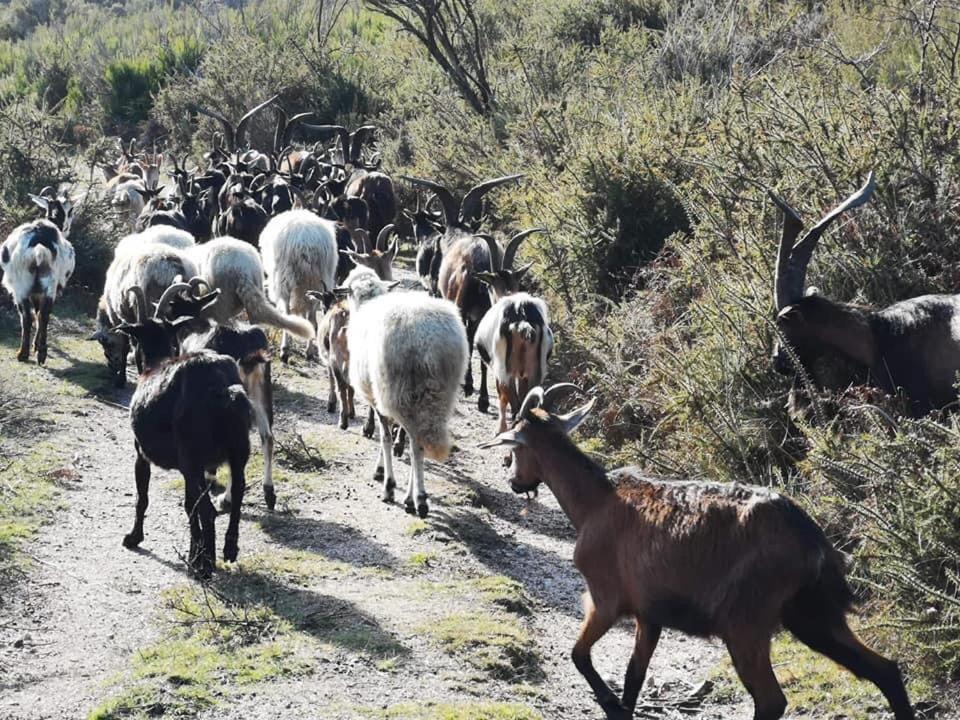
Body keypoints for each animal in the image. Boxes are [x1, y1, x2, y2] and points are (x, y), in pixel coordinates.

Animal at [260, 211, 340, 362]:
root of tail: (306, 242)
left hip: (284, 279)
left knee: (287, 313)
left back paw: (284, 351)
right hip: (319, 280)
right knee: (312, 320)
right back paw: (309, 351)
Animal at [342, 266, 468, 516]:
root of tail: (428, 341)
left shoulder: (380, 399)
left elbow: (386, 437)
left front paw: (385, 478)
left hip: (399, 392)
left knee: (415, 444)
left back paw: (416, 498)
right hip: (439, 397)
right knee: (418, 441)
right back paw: (414, 497)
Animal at [480, 386, 916, 720]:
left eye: (515, 449)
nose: (514, 481)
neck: (595, 503)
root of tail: (813, 541)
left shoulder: (606, 599)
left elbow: (579, 655)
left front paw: (611, 706)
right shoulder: (650, 614)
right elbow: (634, 675)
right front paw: (623, 708)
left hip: (746, 619)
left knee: (771, 700)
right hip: (812, 615)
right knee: (885, 670)